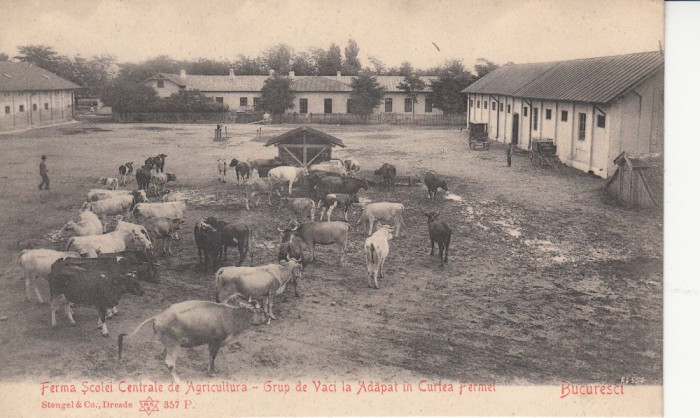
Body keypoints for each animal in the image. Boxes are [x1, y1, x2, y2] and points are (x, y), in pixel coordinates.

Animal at [119, 298, 266, 382]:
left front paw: (212, 370)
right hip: (174, 344)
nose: (269, 319)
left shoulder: (211, 342)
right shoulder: (216, 341)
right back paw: (178, 380)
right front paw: (211, 373)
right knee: (170, 362)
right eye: (260, 311)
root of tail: (158, 316)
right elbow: (212, 356)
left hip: (168, 344)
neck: (230, 316)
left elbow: (211, 357)